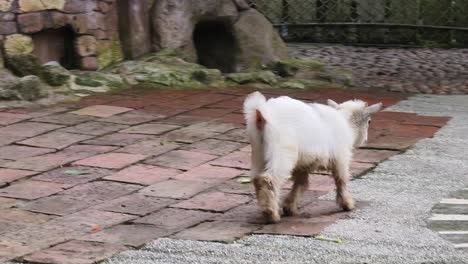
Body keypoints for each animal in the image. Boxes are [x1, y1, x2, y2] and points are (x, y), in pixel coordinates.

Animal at [243, 91, 382, 223]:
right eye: (369, 121)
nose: (366, 140)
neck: (346, 124)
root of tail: (261, 113)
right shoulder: (341, 158)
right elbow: (341, 179)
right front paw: (347, 204)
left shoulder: (302, 164)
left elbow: (301, 183)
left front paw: (289, 207)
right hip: (281, 151)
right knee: (268, 179)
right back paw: (271, 214)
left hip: (259, 151)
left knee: (256, 178)